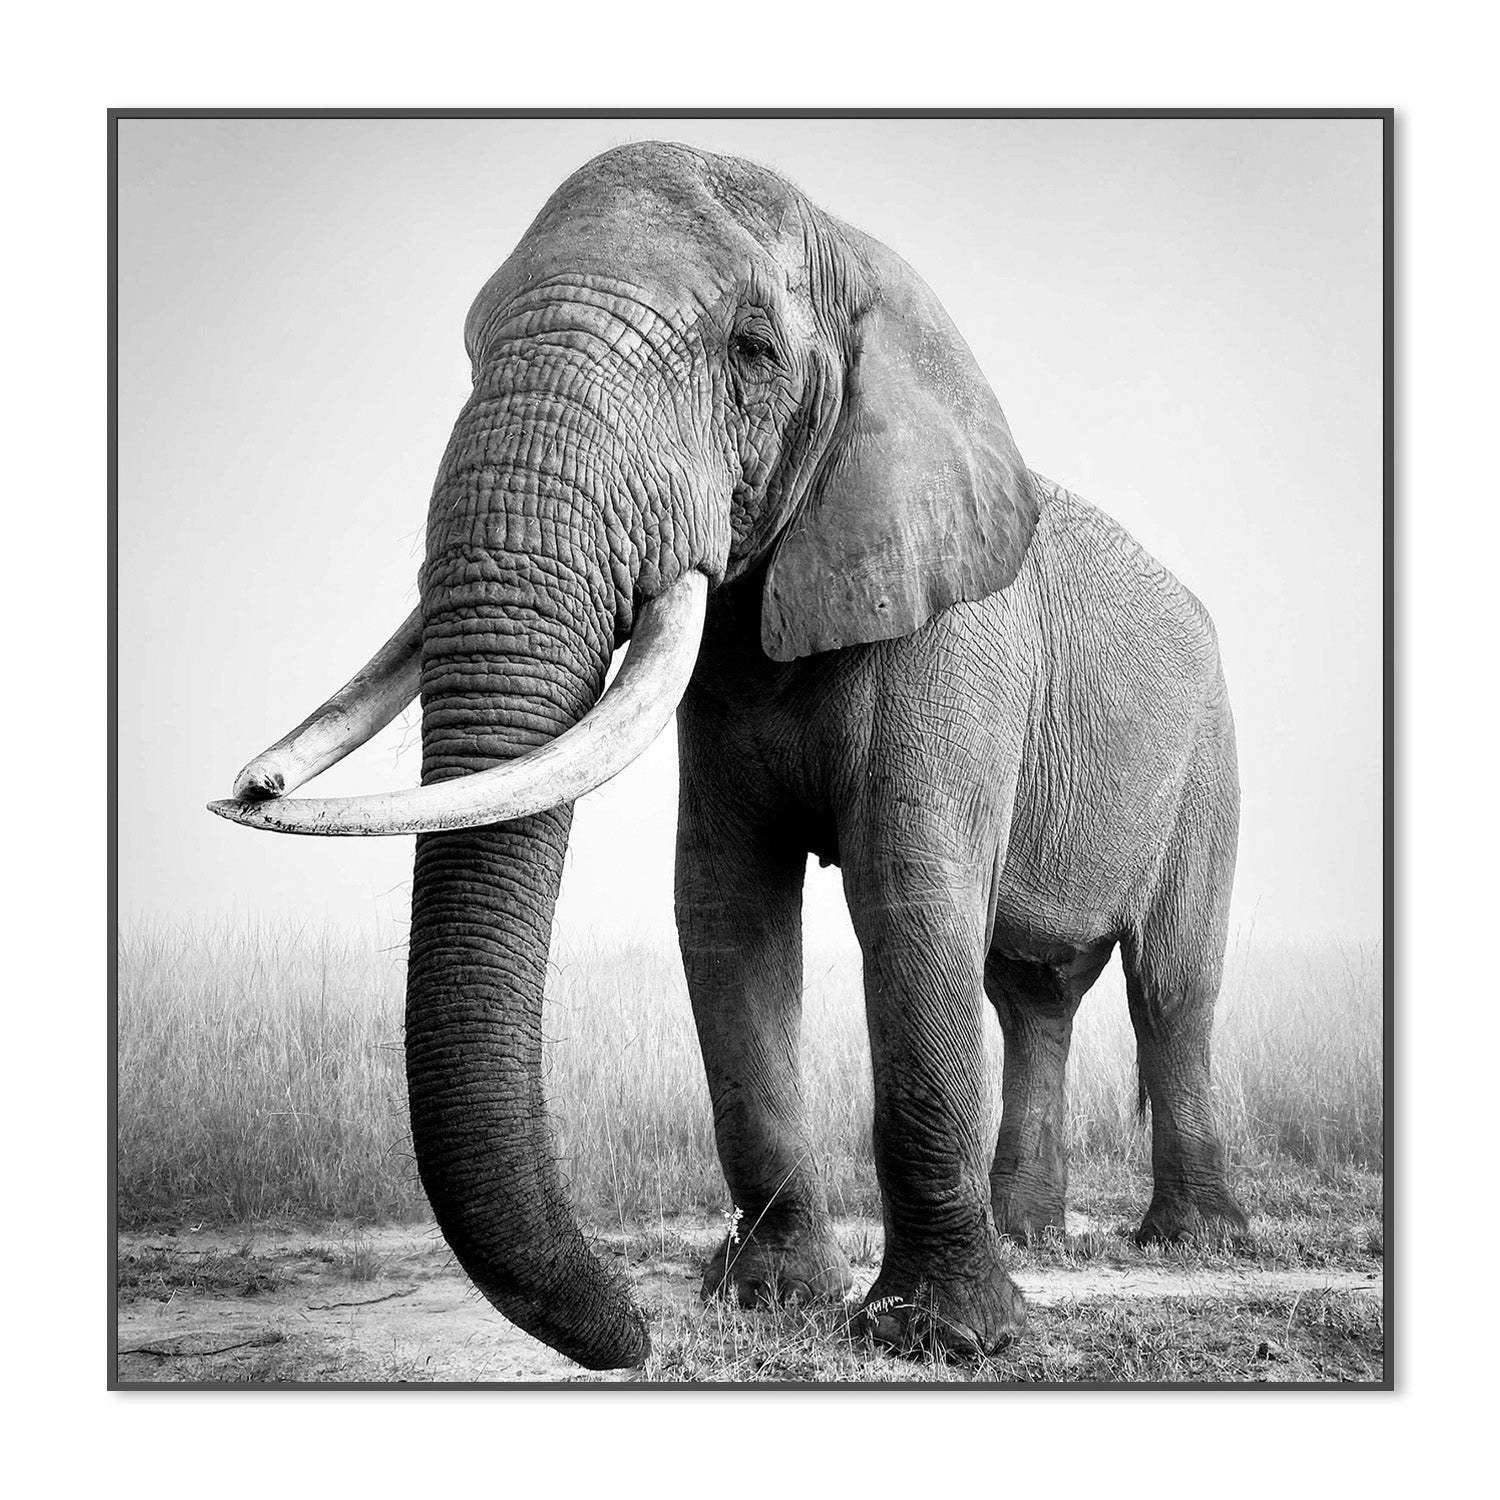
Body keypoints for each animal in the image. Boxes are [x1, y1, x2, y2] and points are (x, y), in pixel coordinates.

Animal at [211, 141, 1247, 1371]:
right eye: (468, 349)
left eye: (751, 352)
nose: (635, 1335)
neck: (859, 255)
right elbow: (727, 909)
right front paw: (774, 1299)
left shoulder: (954, 637)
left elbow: (910, 897)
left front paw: (945, 1339)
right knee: (1031, 991)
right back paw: (1033, 1235)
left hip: (1211, 755)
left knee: (1171, 982)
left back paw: (1191, 1244)